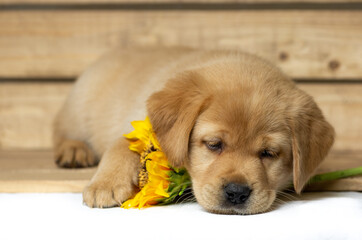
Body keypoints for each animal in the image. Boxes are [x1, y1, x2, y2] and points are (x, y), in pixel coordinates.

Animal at [53, 47, 334, 214]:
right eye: (213, 144)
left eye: (268, 153)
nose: (237, 193)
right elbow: (121, 145)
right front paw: (106, 184)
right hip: (78, 106)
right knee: (60, 130)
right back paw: (74, 151)